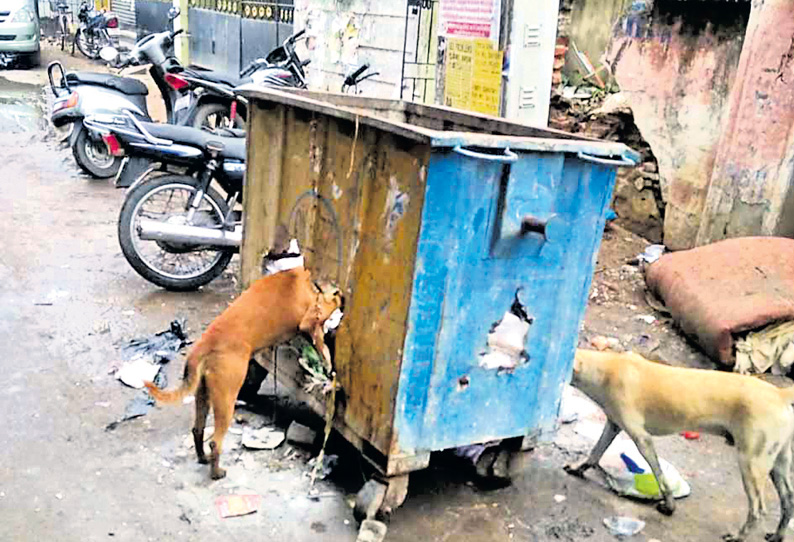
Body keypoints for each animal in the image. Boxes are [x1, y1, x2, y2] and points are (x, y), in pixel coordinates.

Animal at [144, 268, 342, 480]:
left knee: (198, 429)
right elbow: (322, 335)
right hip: (226, 397)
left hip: (203, 394)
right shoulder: (310, 321)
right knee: (215, 442)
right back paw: (216, 473)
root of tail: (204, 345)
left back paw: (202, 458)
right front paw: (327, 361)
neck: (310, 280)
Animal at [568, 350, 794, 540]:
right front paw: (578, 468)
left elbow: (660, 476)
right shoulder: (613, 425)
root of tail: (780, 394)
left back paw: (739, 537)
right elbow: (595, 453)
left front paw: (669, 506)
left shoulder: (643, 439)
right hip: (777, 462)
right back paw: (777, 536)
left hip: (751, 462)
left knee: (758, 509)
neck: (607, 369)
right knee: (788, 500)